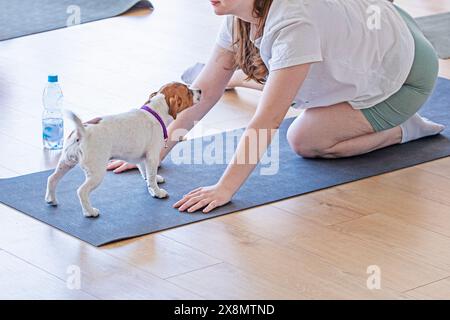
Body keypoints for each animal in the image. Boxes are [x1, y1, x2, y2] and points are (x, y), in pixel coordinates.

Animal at [45, 82, 200, 218]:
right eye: (188, 92)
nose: (200, 90)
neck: (154, 112)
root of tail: (82, 132)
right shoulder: (152, 157)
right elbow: (151, 175)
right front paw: (157, 192)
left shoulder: (142, 159)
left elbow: (146, 174)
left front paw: (153, 183)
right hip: (96, 174)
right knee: (81, 191)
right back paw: (89, 212)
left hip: (66, 162)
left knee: (52, 179)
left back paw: (51, 199)